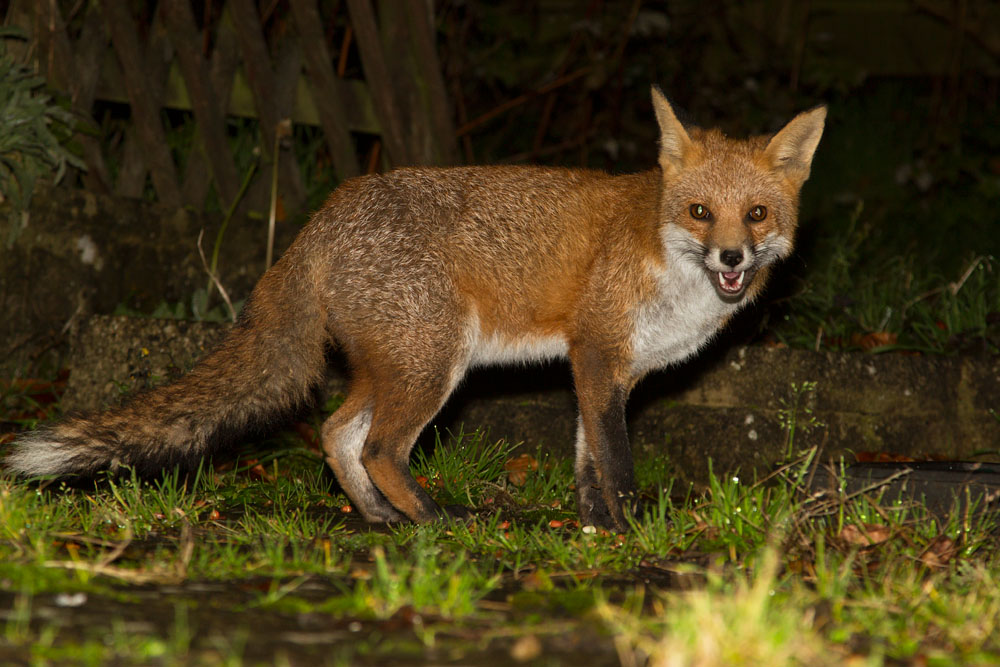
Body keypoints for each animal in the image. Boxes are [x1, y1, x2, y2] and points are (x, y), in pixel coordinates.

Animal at [5, 87, 825, 530]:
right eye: (698, 212)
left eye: (755, 214)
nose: (732, 260)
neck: (663, 254)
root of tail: (326, 214)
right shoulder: (598, 356)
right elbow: (616, 460)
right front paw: (631, 527)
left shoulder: (603, 373)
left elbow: (587, 460)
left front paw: (595, 525)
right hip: (434, 363)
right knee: (377, 447)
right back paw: (432, 521)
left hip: (396, 363)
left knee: (335, 432)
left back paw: (377, 518)